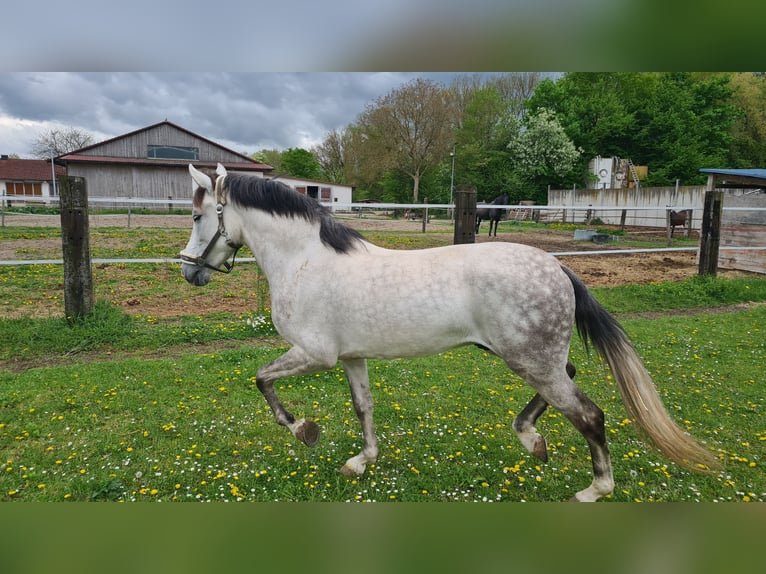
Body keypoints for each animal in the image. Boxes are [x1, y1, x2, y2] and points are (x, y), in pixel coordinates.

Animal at [179, 164, 718, 502]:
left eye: (198, 215)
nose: (188, 272)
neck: (306, 260)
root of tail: (558, 267)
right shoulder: (352, 357)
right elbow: (363, 407)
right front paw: (361, 461)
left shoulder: (314, 354)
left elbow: (262, 380)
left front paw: (304, 430)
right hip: (532, 358)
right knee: (568, 375)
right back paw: (532, 440)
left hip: (530, 361)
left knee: (589, 415)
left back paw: (593, 490)